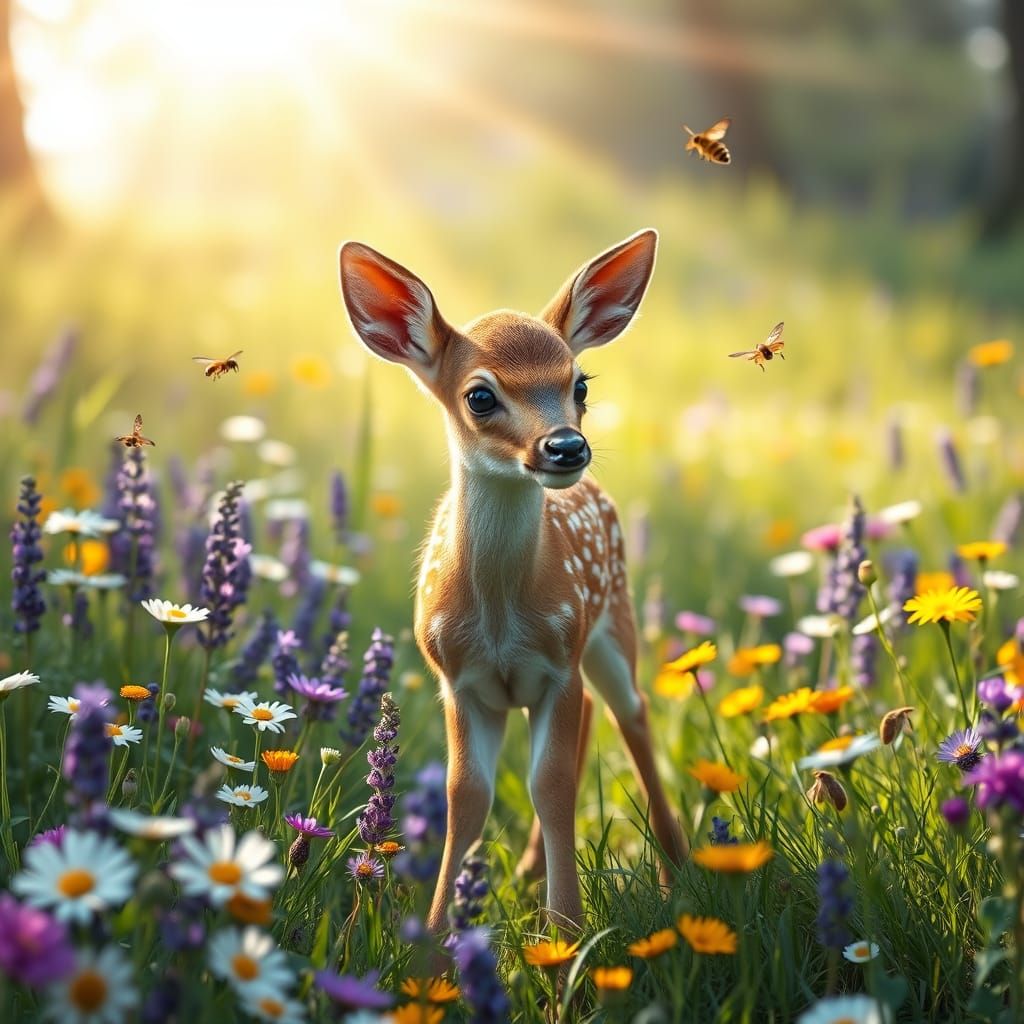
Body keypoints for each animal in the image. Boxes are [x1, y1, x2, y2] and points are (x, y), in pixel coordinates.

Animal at [338, 229, 689, 935]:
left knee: (633, 714)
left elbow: (549, 786)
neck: (501, 614)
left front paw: (568, 937)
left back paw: (677, 870)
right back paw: (528, 871)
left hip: (612, 628)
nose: (566, 447)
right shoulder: (459, 681)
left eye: (580, 383)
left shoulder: (558, 663)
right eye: (480, 395)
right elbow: (465, 794)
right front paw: (435, 939)